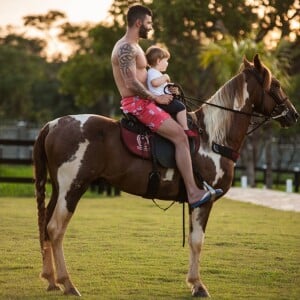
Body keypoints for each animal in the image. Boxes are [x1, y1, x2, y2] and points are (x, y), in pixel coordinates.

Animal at [32, 55, 298, 296]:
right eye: (275, 85)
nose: (293, 115)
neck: (212, 137)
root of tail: (52, 125)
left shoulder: (193, 203)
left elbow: (192, 240)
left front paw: (193, 282)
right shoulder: (204, 201)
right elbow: (198, 241)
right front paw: (198, 285)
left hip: (59, 190)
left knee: (46, 226)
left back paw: (51, 279)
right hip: (73, 188)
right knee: (55, 229)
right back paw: (67, 283)